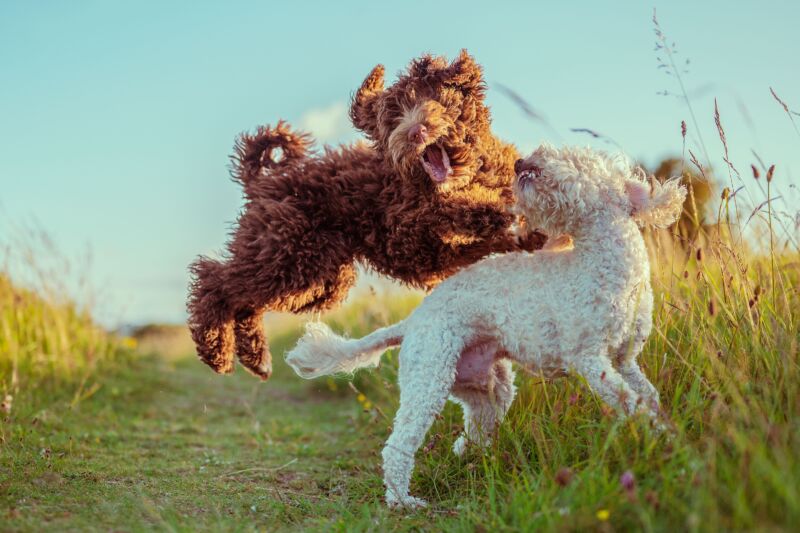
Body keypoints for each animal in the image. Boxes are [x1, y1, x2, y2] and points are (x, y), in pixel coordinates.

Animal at [189, 50, 544, 378]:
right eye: (393, 117)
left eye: (434, 97)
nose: (416, 132)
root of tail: (262, 180)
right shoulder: (409, 224)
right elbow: (453, 210)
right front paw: (496, 211)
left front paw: (526, 225)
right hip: (285, 252)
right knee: (214, 279)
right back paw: (217, 352)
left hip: (317, 278)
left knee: (246, 302)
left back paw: (255, 358)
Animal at [284, 142, 684, 508]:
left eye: (575, 159)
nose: (523, 161)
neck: (604, 264)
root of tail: (412, 321)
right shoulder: (591, 360)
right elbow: (631, 402)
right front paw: (661, 437)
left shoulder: (624, 360)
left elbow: (647, 395)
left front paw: (666, 428)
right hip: (429, 376)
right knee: (398, 445)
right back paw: (403, 500)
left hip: (486, 388)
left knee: (472, 430)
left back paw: (471, 463)